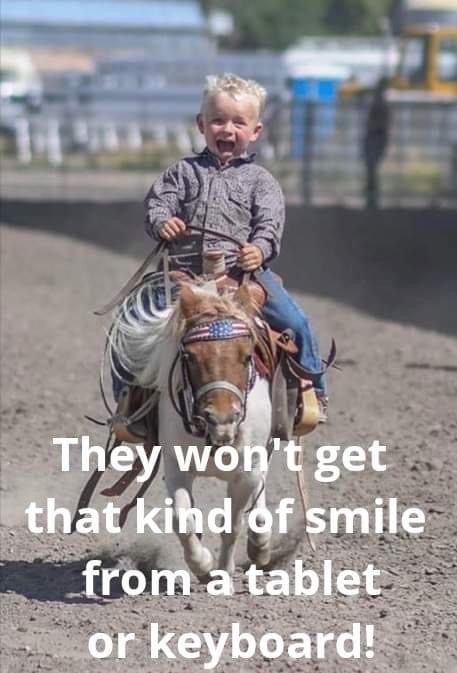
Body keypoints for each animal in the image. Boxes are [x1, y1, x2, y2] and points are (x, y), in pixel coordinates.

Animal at [108, 276, 272, 584]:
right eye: (190, 356)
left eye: (247, 356)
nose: (222, 418)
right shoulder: (176, 466)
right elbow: (182, 520)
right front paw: (203, 565)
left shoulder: (245, 473)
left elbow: (232, 523)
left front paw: (223, 570)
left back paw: (261, 544)